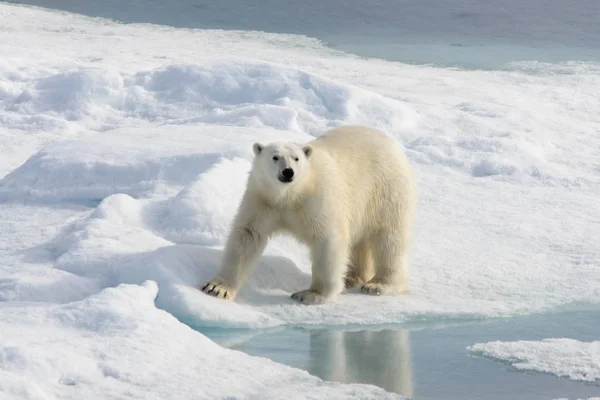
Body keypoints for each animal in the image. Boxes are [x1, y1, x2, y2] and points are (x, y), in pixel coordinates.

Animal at [199, 126, 414, 304]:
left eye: (296, 158)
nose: (288, 172)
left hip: (387, 191)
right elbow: (247, 237)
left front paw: (310, 294)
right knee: (360, 242)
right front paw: (217, 288)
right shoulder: (262, 200)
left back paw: (379, 284)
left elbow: (328, 240)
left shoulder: (318, 199)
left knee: (388, 240)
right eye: (275, 157)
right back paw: (352, 277)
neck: (291, 195)